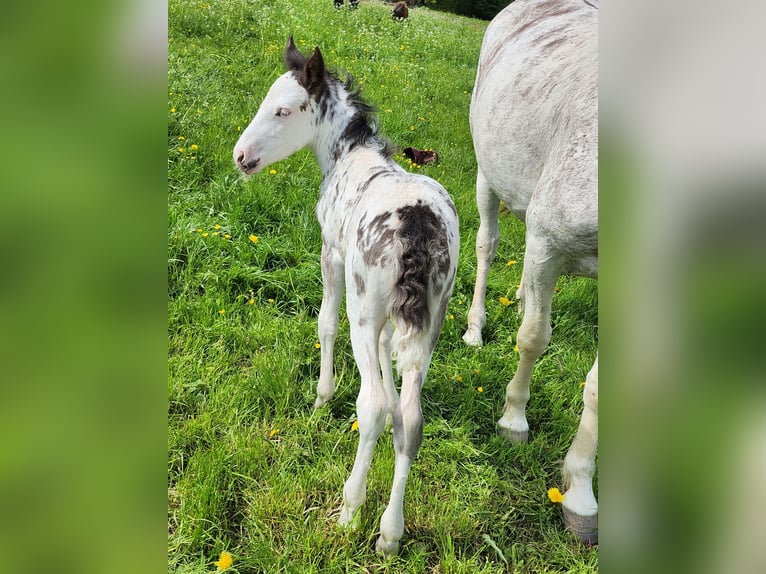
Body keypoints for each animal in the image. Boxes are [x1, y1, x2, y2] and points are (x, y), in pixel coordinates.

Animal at [234, 37, 460, 560]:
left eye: (283, 110)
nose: (241, 156)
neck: (345, 157)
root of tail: (418, 226)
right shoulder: (397, 319)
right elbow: (392, 368)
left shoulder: (331, 255)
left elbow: (325, 323)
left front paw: (321, 398)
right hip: (433, 319)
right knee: (412, 417)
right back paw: (390, 532)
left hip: (364, 306)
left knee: (371, 403)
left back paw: (351, 510)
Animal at [462, 0, 600, 544]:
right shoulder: (550, 239)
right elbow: (534, 338)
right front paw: (513, 421)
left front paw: (581, 494)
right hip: (487, 171)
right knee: (490, 243)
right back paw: (475, 328)